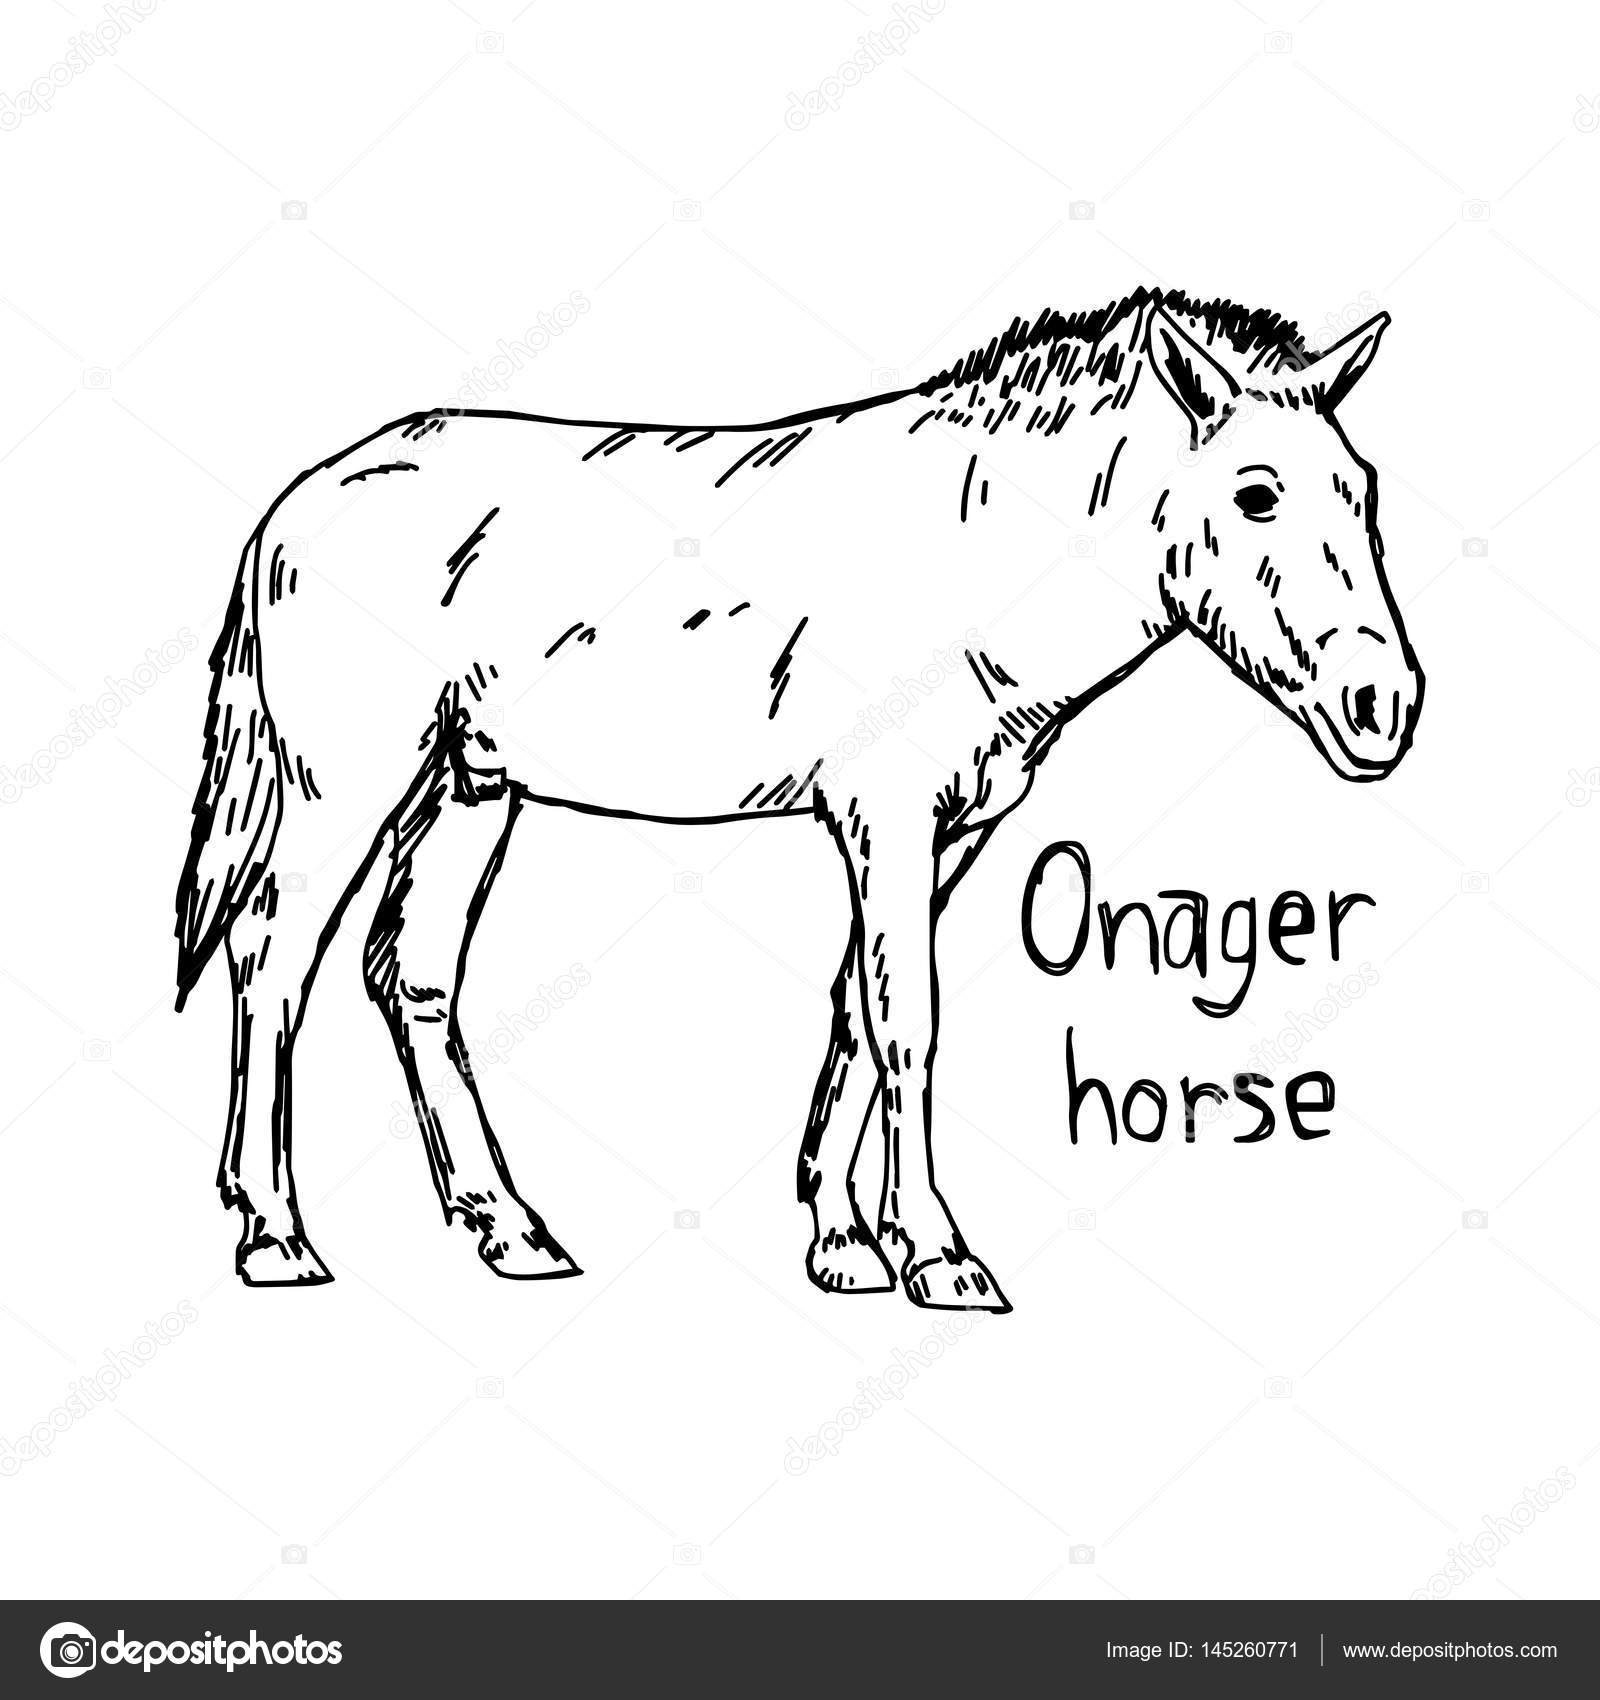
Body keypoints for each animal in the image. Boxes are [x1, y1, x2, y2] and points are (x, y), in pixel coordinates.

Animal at [175, 286, 1424, 1311]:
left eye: (1362, 493)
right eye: (1255, 495)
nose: (1386, 705)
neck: (970, 549)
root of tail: (299, 495)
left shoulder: (954, 824)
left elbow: (855, 1011)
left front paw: (845, 1242)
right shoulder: (889, 813)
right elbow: (909, 1021)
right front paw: (939, 1254)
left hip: (471, 780)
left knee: (414, 974)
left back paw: (511, 1231)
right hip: (343, 779)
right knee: (273, 957)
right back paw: (275, 1236)